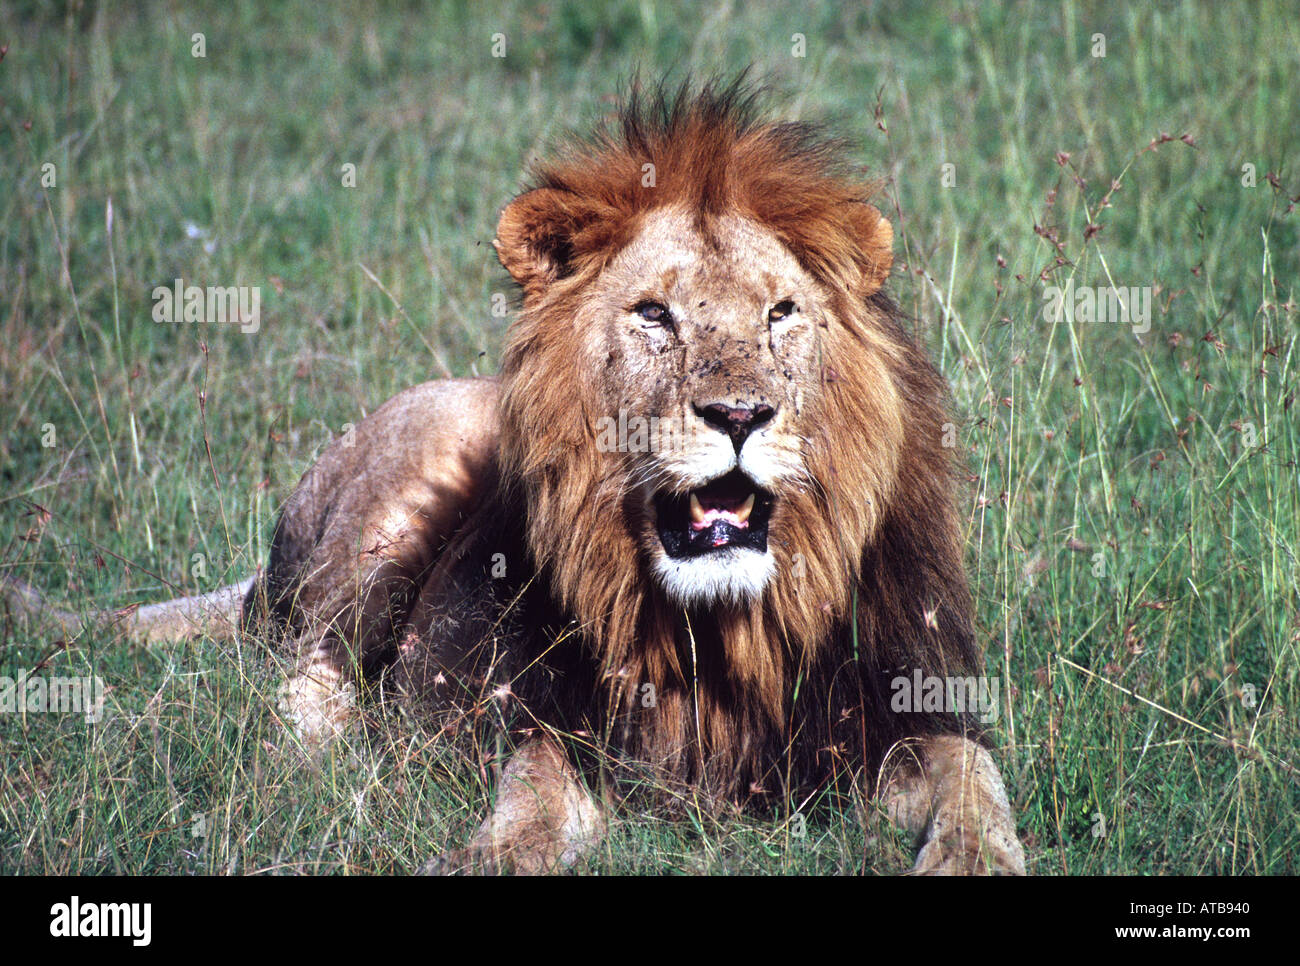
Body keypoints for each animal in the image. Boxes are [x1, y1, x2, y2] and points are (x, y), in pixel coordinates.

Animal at [7, 79, 1025, 875]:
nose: (740, 416)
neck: (714, 632)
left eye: (781, 313)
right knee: (304, 686)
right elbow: (534, 785)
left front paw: (975, 856)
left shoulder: (887, 709)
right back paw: (348, 764)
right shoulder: (551, 717)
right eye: (653, 314)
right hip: (407, 481)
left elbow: (971, 771)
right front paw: (488, 854)